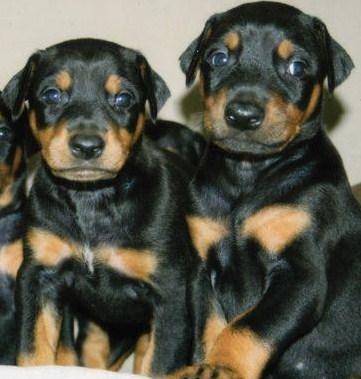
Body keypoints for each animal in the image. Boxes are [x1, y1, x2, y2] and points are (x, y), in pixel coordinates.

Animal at [2, 38, 194, 378]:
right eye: (51, 94)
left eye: (124, 98)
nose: (87, 146)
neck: (91, 199)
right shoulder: (38, 277)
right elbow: (34, 352)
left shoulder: (170, 293)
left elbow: (159, 363)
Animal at [176, 2, 358, 379]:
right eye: (217, 57)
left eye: (297, 66)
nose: (243, 115)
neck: (247, 175)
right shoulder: (202, 271)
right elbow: (210, 327)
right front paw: (203, 366)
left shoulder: (301, 277)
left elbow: (248, 327)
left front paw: (222, 368)